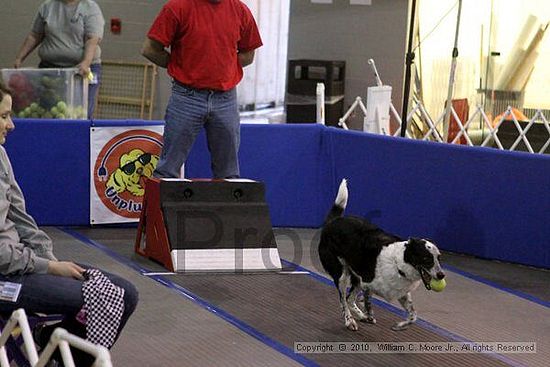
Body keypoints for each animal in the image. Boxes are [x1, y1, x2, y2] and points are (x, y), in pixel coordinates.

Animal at [322, 180, 446, 332]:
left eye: (439, 258)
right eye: (426, 258)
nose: (441, 275)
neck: (399, 265)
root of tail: (333, 221)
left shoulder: (402, 293)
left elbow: (413, 315)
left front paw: (400, 326)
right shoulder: (367, 284)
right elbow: (367, 303)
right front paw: (368, 313)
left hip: (356, 276)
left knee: (349, 298)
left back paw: (362, 317)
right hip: (342, 275)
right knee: (343, 300)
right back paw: (350, 321)